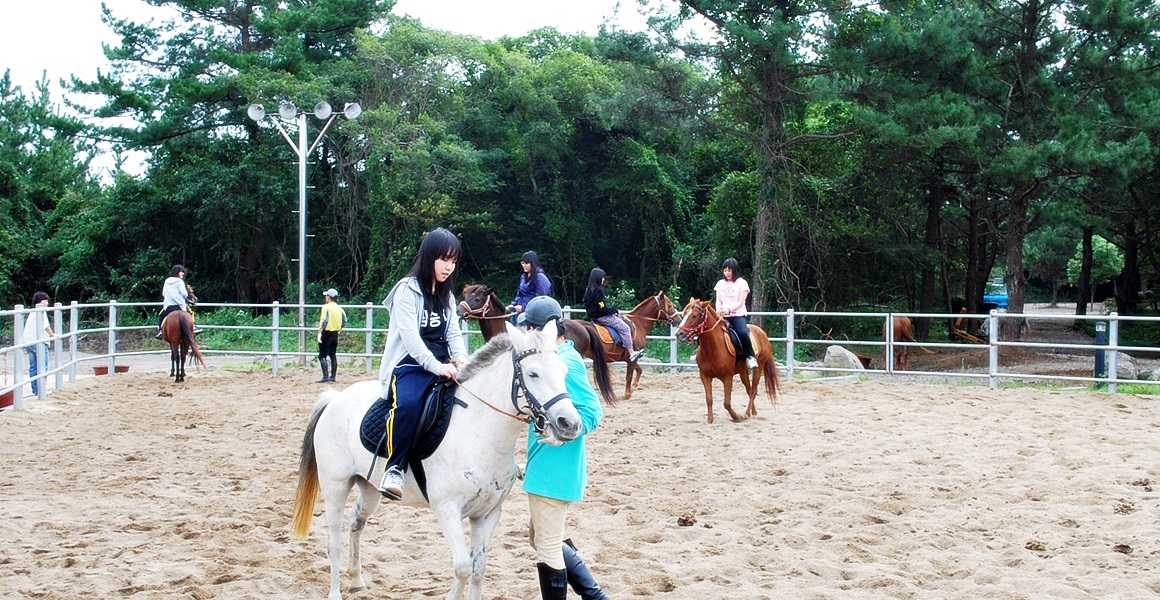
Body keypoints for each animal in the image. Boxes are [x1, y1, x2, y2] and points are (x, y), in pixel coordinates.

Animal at [290, 322, 580, 598]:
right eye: (533, 374)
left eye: (564, 372)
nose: (570, 423)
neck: (479, 432)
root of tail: (335, 399)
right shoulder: (447, 510)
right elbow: (462, 568)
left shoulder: (487, 514)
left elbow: (478, 569)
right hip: (335, 487)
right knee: (334, 542)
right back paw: (335, 592)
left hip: (369, 488)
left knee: (356, 522)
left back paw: (357, 580)